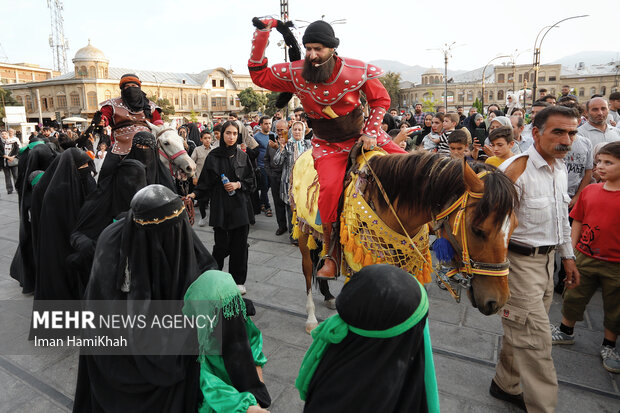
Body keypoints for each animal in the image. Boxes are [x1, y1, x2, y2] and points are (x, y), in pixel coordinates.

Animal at [290, 146, 520, 334]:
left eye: (514, 226)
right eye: (477, 229)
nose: (497, 300)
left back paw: (328, 293)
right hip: (302, 230)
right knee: (307, 268)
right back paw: (311, 318)